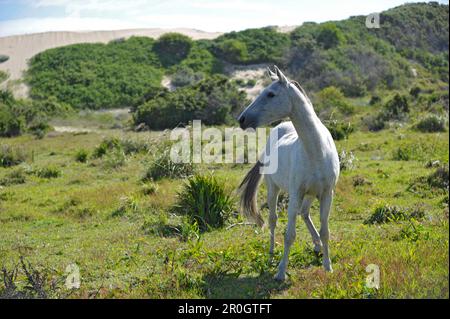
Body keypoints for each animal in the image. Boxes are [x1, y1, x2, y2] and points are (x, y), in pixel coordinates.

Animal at [237, 66, 340, 282]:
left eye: (270, 94)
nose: (242, 119)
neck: (316, 151)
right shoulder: (295, 194)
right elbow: (289, 234)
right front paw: (281, 271)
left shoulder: (327, 194)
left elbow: (325, 231)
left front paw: (328, 266)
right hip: (273, 189)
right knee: (273, 220)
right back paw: (271, 252)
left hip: (310, 195)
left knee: (305, 213)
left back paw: (317, 245)